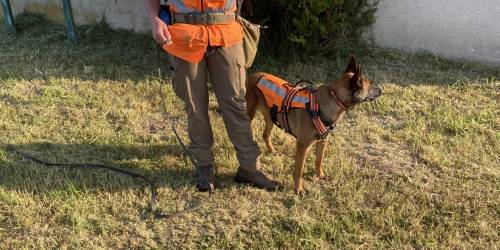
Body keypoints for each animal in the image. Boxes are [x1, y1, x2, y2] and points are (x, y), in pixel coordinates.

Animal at [246, 57, 382, 195]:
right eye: (371, 84)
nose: (381, 90)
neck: (334, 99)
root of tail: (251, 76)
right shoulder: (303, 146)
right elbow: (299, 171)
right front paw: (298, 189)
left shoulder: (323, 141)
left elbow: (319, 160)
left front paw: (320, 175)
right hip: (249, 114)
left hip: (270, 118)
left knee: (265, 135)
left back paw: (273, 151)